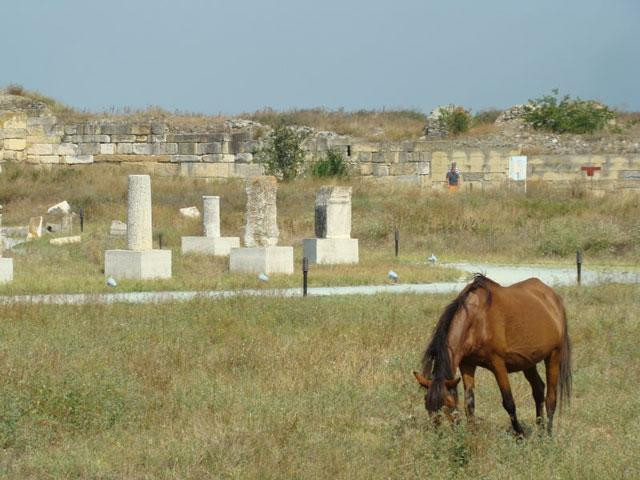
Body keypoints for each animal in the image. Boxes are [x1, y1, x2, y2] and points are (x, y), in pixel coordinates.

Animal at [416, 274, 568, 436]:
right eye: (427, 404)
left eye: (449, 404)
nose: (439, 436)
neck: (477, 319)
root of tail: (553, 298)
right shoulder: (467, 364)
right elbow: (469, 403)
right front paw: (472, 434)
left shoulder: (498, 364)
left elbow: (509, 402)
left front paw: (519, 434)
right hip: (528, 361)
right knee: (538, 389)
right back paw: (540, 430)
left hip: (553, 355)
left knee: (551, 399)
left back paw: (548, 435)